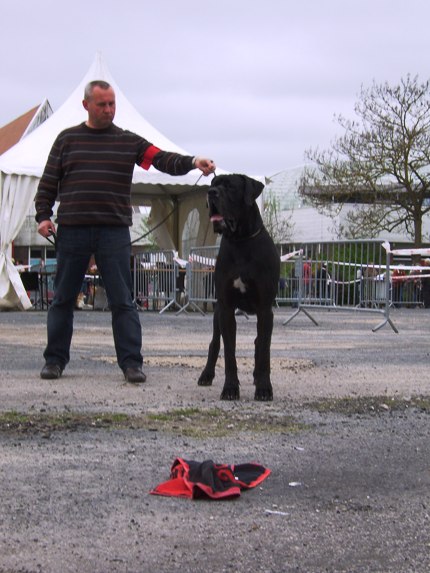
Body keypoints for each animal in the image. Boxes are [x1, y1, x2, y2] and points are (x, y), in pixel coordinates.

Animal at [197, 172, 280, 400]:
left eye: (231, 187)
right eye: (213, 184)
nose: (211, 193)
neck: (241, 241)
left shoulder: (265, 309)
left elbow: (264, 350)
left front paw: (264, 388)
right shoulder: (226, 309)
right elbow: (229, 352)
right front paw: (230, 388)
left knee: (259, 342)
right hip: (217, 311)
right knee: (214, 343)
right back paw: (206, 375)